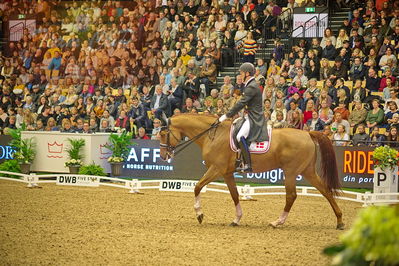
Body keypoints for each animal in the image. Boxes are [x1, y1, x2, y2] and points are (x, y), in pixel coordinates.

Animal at [158, 113, 346, 230]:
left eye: (163, 133)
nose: (162, 156)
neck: (213, 135)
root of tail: (308, 134)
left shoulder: (216, 169)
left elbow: (197, 187)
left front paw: (199, 214)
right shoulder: (227, 173)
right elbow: (234, 195)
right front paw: (236, 219)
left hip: (291, 172)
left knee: (291, 196)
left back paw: (277, 222)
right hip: (307, 171)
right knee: (326, 191)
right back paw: (339, 221)